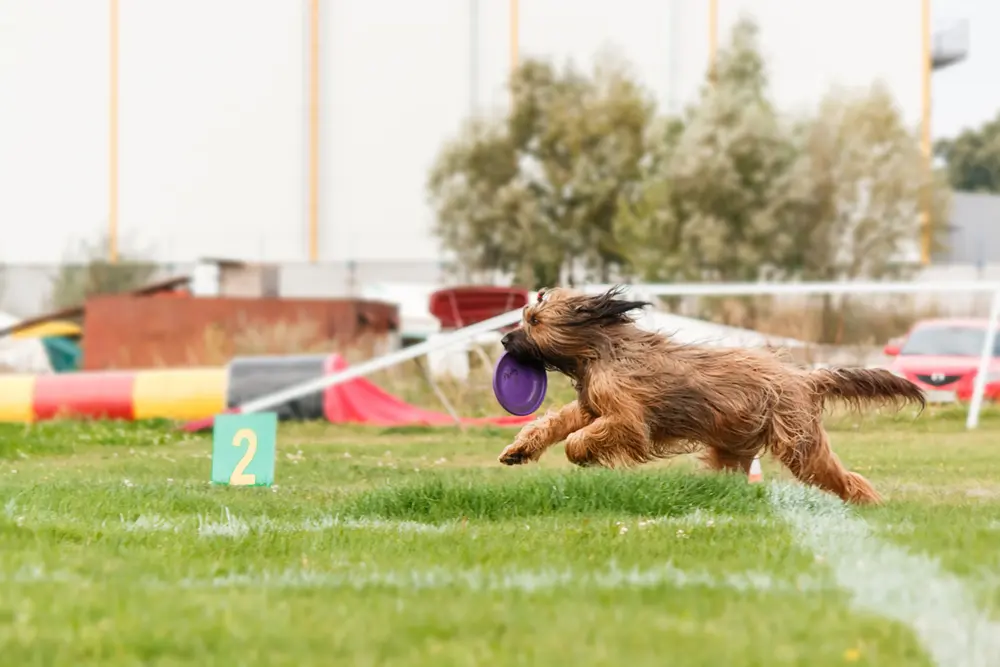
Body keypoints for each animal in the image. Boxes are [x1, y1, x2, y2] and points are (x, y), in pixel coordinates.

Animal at [496, 288, 924, 506]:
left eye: (535, 321)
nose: (504, 340)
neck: (601, 348)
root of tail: (804, 377)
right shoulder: (593, 404)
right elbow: (558, 421)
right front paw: (519, 449)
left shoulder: (628, 418)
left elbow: (591, 434)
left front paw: (581, 453)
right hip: (733, 444)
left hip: (799, 444)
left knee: (839, 475)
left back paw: (867, 501)